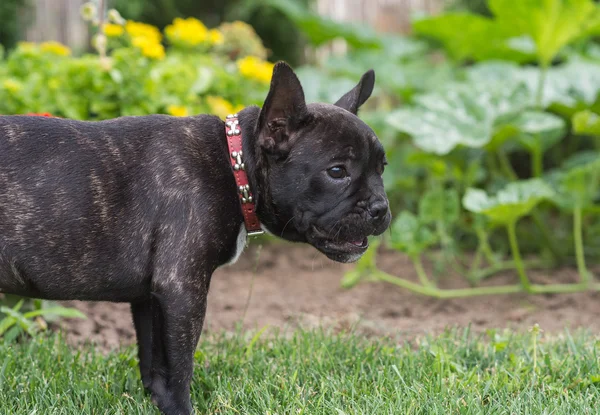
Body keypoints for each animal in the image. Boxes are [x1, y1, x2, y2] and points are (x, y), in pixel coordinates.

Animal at [0, 62, 392, 415]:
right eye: (337, 171)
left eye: (382, 168)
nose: (381, 207)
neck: (235, 165)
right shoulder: (182, 291)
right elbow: (179, 367)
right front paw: (181, 407)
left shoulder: (151, 298)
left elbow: (154, 361)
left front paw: (156, 401)